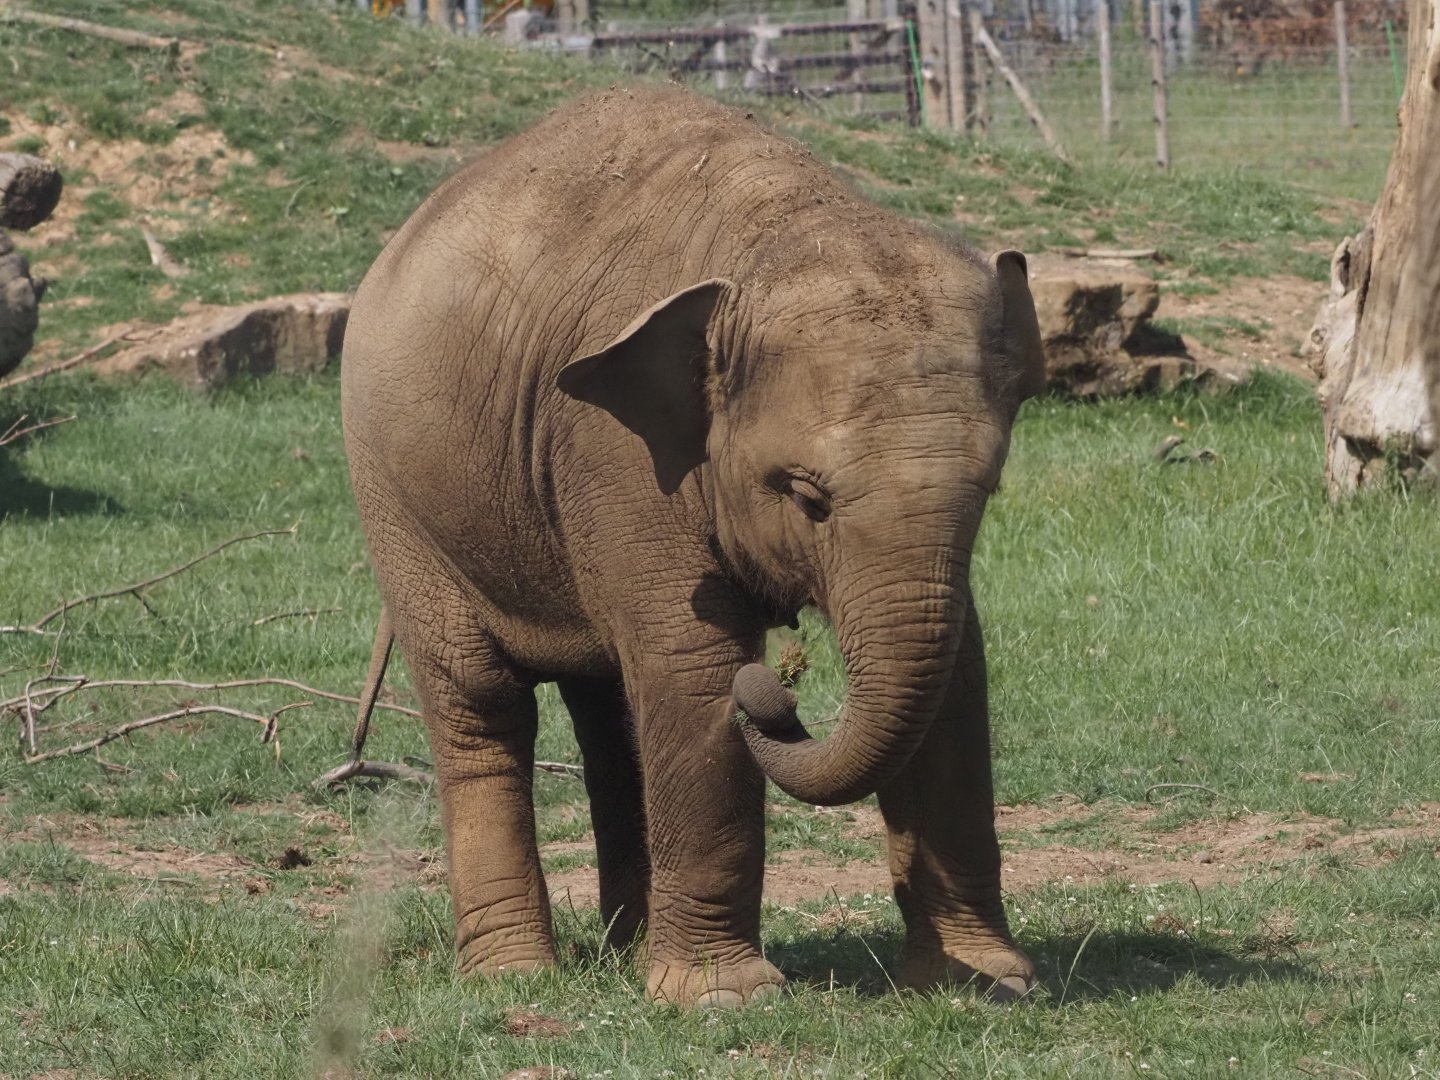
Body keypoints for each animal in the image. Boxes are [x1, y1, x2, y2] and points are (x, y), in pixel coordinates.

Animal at [340, 86, 1044, 1008]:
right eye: (806, 496)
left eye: (990, 489)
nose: (775, 688)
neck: (787, 228)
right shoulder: (616, 451)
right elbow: (693, 663)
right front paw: (723, 1000)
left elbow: (960, 673)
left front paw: (988, 982)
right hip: (396, 499)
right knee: (481, 701)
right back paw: (513, 978)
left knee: (609, 718)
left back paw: (627, 953)